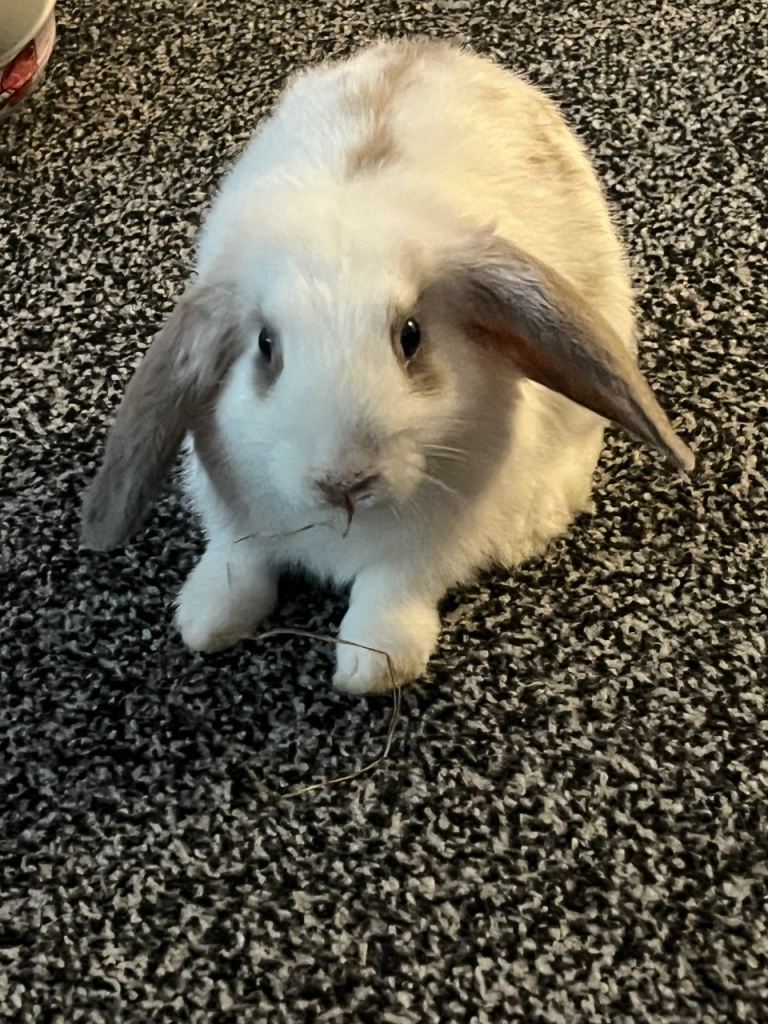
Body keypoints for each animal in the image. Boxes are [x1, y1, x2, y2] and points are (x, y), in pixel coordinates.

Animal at [80, 38, 694, 694]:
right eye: (266, 346)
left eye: (410, 336)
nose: (344, 481)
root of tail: (433, 48)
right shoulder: (232, 514)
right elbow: (237, 563)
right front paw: (204, 623)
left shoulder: (428, 547)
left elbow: (389, 592)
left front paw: (372, 670)